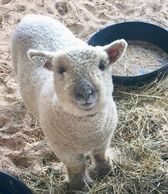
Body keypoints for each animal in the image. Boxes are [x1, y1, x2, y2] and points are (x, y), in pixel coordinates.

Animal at [11, 14, 127, 192]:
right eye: (60, 70)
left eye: (102, 65)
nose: (85, 92)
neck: (87, 131)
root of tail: (31, 17)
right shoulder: (65, 150)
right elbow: (77, 167)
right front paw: (80, 186)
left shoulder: (104, 138)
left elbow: (100, 155)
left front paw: (105, 171)